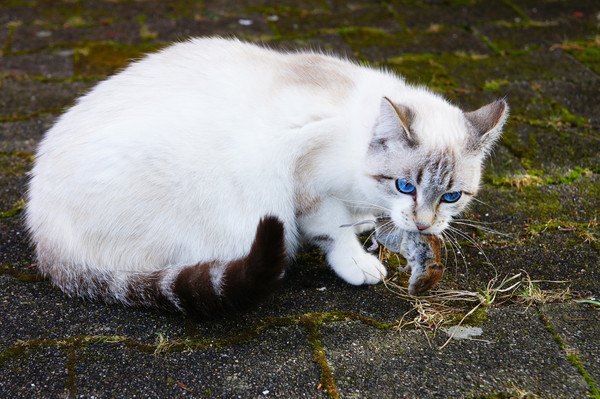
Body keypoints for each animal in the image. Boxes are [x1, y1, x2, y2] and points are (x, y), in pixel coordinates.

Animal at [24, 38, 506, 318]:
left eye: (452, 197)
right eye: (405, 186)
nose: (424, 225)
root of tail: (44, 241)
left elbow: (356, 218)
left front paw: (369, 224)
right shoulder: (306, 178)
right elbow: (333, 230)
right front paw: (356, 262)